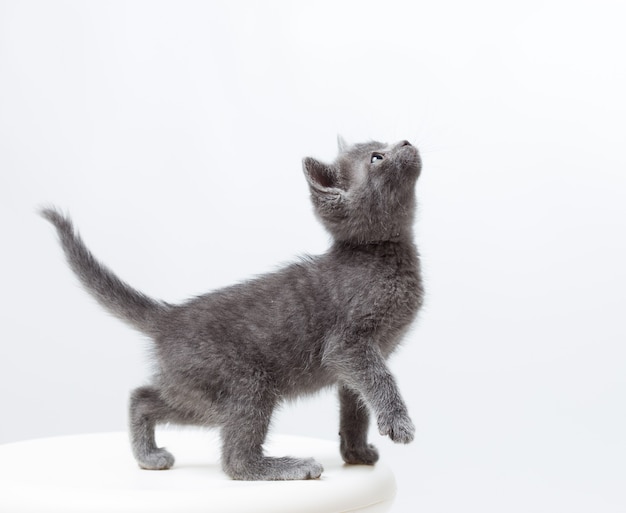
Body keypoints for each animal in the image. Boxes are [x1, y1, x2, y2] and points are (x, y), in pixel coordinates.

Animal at [41, 137, 424, 480]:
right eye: (377, 157)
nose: (406, 141)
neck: (382, 253)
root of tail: (169, 317)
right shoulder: (349, 345)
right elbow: (380, 380)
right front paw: (398, 422)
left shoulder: (358, 362)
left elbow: (356, 407)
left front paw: (356, 453)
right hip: (246, 382)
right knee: (234, 460)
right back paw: (285, 467)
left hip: (197, 393)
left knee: (143, 396)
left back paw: (148, 455)